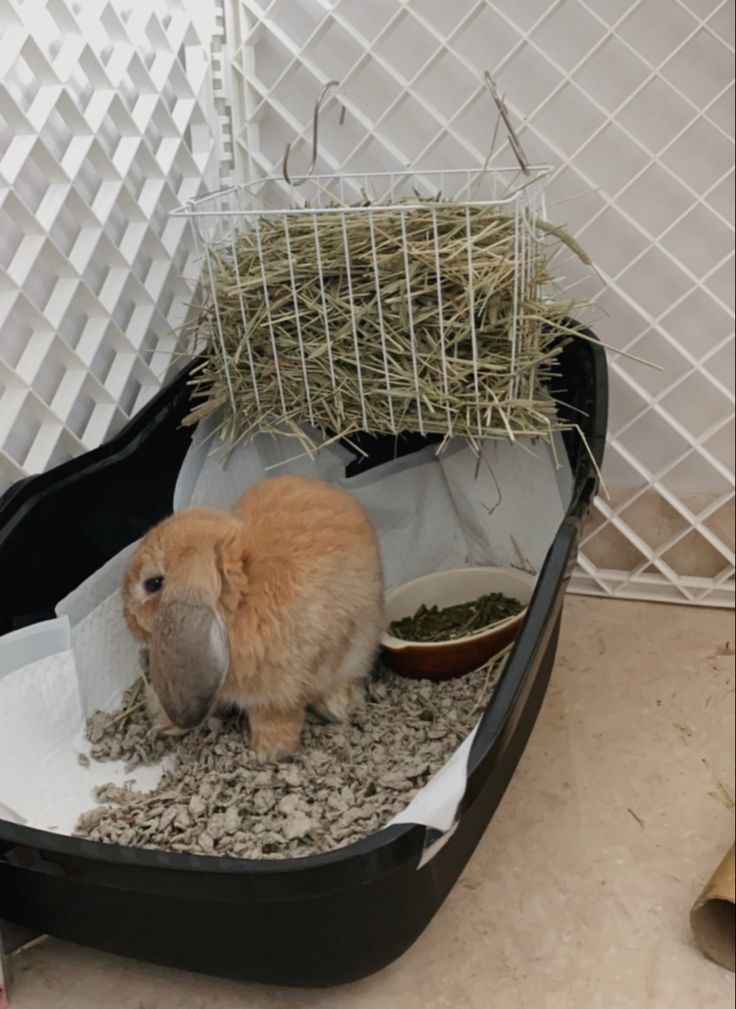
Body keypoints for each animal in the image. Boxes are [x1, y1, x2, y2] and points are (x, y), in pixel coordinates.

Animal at [120, 476, 385, 758]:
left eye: (153, 583)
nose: (128, 618)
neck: (242, 600)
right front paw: (165, 724)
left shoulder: (280, 694)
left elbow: (276, 718)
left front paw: (268, 753)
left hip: (360, 647)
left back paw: (337, 705)